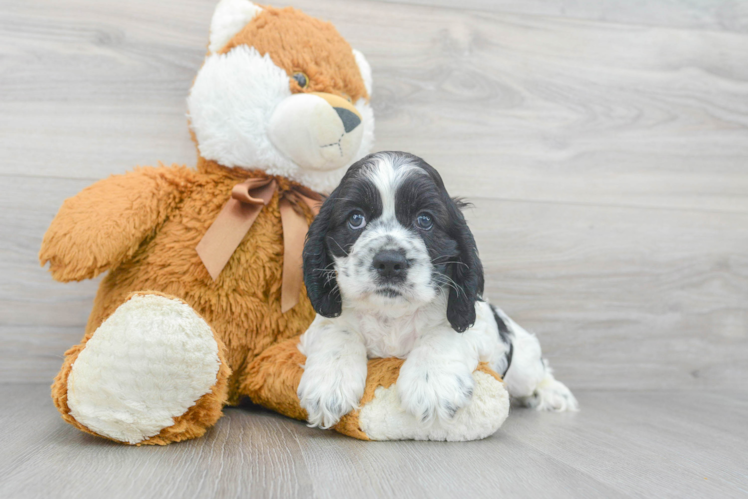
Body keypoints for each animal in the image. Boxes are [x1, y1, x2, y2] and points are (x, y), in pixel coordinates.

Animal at [298, 150, 580, 428]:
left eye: (425, 220)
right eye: (356, 218)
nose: (389, 262)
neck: (392, 316)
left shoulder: (476, 322)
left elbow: (444, 332)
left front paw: (431, 383)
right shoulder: (318, 326)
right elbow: (337, 329)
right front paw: (328, 384)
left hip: (523, 362)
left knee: (538, 370)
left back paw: (553, 393)